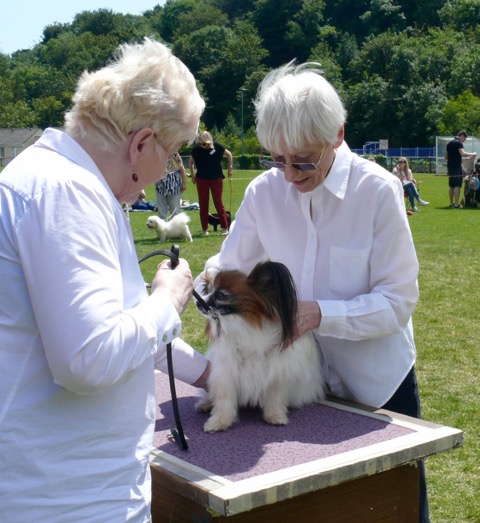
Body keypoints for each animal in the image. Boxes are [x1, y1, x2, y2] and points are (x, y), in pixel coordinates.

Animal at [195, 261, 325, 433]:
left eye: (221, 295)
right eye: (207, 291)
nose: (198, 301)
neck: (243, 324)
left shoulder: (277, 372)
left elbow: (275, 397)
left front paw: (275, 416)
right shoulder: (226, 372)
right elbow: (224, 399)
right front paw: (219, 422)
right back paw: (205, 404)